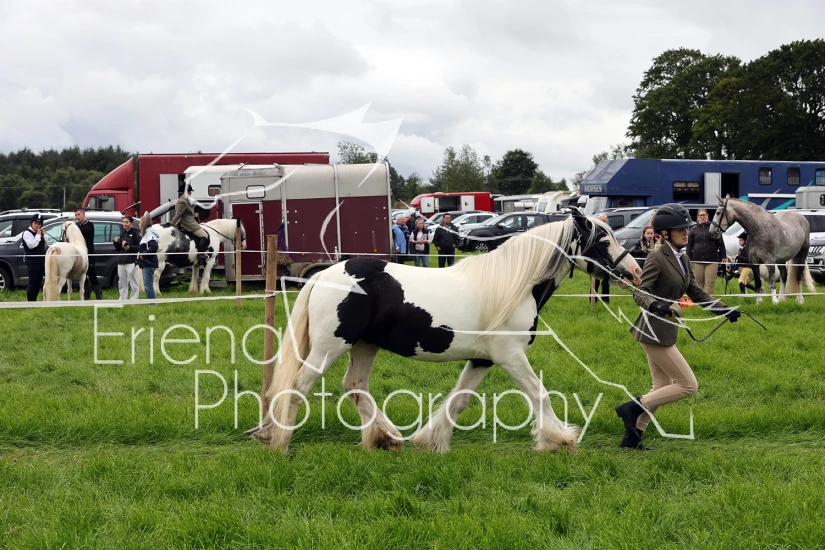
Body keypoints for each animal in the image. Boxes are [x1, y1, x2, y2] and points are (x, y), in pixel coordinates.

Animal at [250, 210, 642, 454]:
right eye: (603, 239)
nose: (635, 272)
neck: (515, 285)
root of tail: (322, 276)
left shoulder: (483, 360)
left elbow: (460, 400)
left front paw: (431, 441)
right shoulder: (511, 357)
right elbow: (540, 394)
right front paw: (559, 440)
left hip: (364, 346)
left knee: (354, 386)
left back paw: (385, 438)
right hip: (328, 348)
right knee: (298, 387)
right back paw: (281, 445)